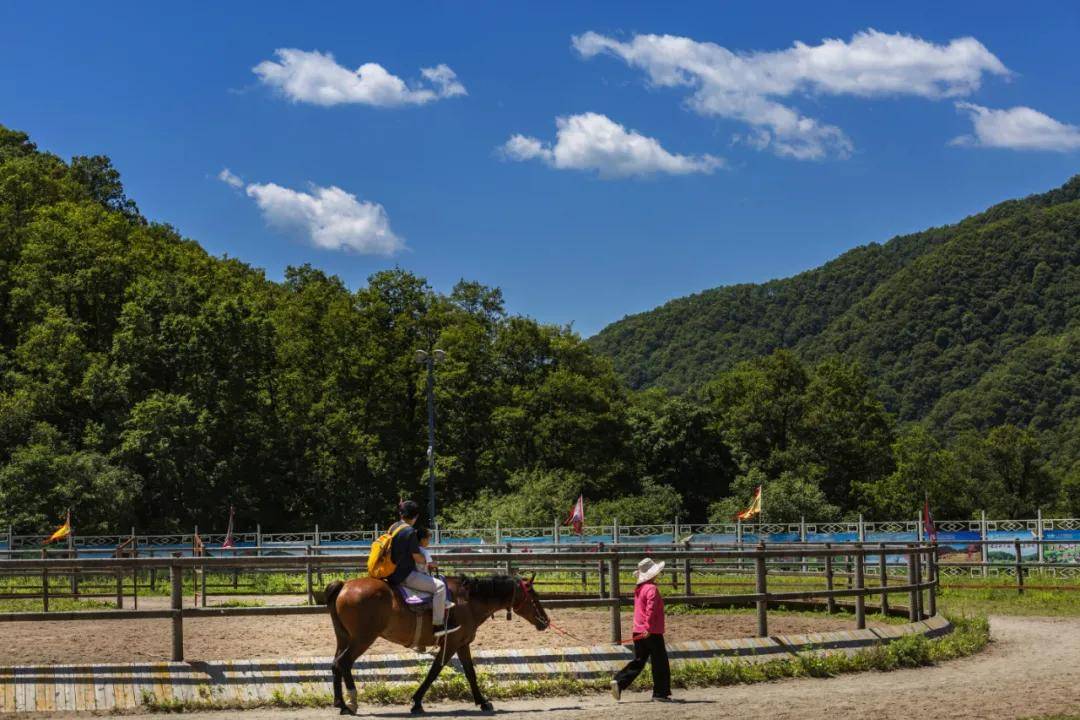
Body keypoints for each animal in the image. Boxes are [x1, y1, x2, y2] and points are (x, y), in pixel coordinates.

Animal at [321, 574, 548, 716]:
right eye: (534, 596)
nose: (545, 621)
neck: (466, 601)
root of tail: (344, 585)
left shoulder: (462, 644)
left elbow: (470, 673)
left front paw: (482, 701)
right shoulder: (451, 644)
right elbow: (434, 671)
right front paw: (416, 702)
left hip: (344, 638)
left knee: (335, 664)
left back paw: (340, 703)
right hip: (362, 639)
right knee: (344, 663)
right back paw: (350, 703)